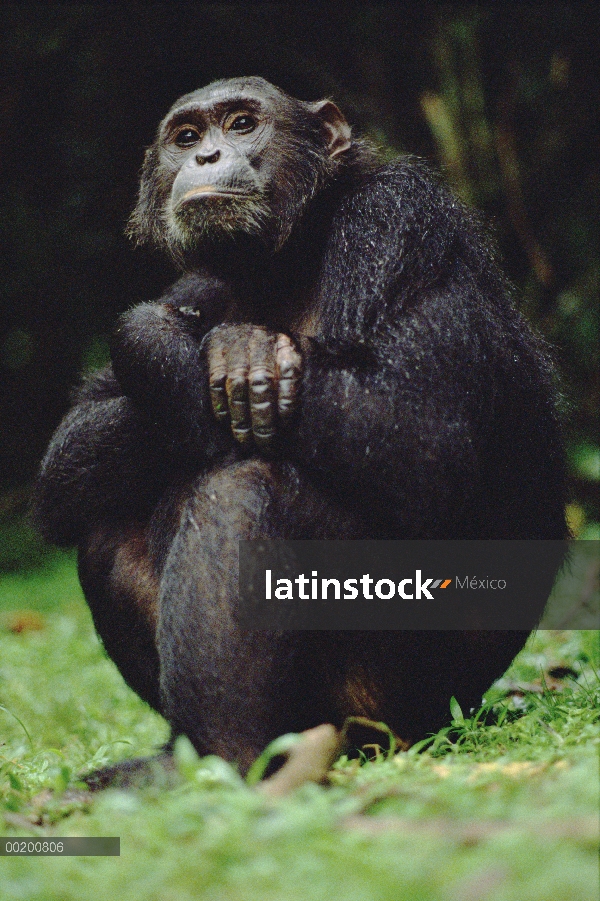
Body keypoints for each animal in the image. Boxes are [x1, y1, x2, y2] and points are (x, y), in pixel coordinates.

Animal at [34, 74, 568, 768]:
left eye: (241, 124)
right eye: (186, 135)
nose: (206, 155)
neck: (289, 258)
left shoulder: (397, 223)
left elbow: (421, 440)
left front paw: (215, 346)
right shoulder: (199, 286)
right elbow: (69, 450)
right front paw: (190, 341)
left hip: (391, 693)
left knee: (246, 488)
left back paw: (218, 759)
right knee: (104, 520)